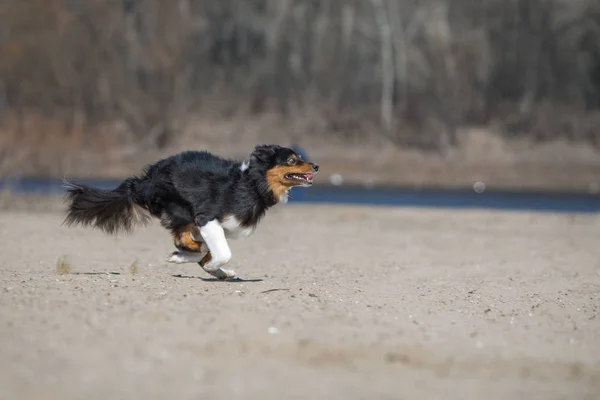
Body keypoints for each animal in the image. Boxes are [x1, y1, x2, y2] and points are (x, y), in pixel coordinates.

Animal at [62, 145, 318, 280]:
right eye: (291, 159)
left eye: (299, 157)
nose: (316, 166)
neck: (253, 184)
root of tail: (143, 181)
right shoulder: (206, 218)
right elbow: (222, 252)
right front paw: (214, 266)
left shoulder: (216, 226)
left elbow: (210, 253)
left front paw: (214, 268)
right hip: (180, 208)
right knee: (184, 240)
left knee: (186, 243)